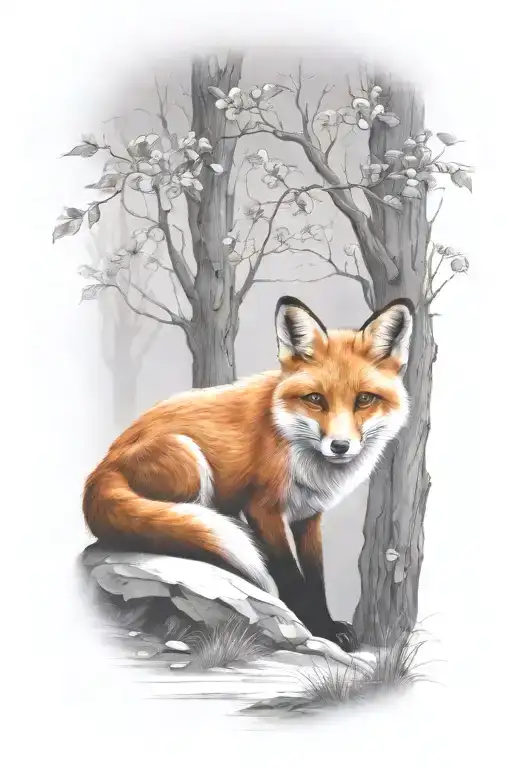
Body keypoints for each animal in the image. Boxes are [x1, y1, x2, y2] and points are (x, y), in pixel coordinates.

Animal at [83, 295, 414, 651]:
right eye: (315, 399)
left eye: (364, 399)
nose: (340, 446)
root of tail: (102, 467)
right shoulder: (264, 508)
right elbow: (291, 574)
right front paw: (317, 629)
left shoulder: (308, 517)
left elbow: (315, 577)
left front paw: (328, 625)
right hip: (188, 459)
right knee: (162, 531)